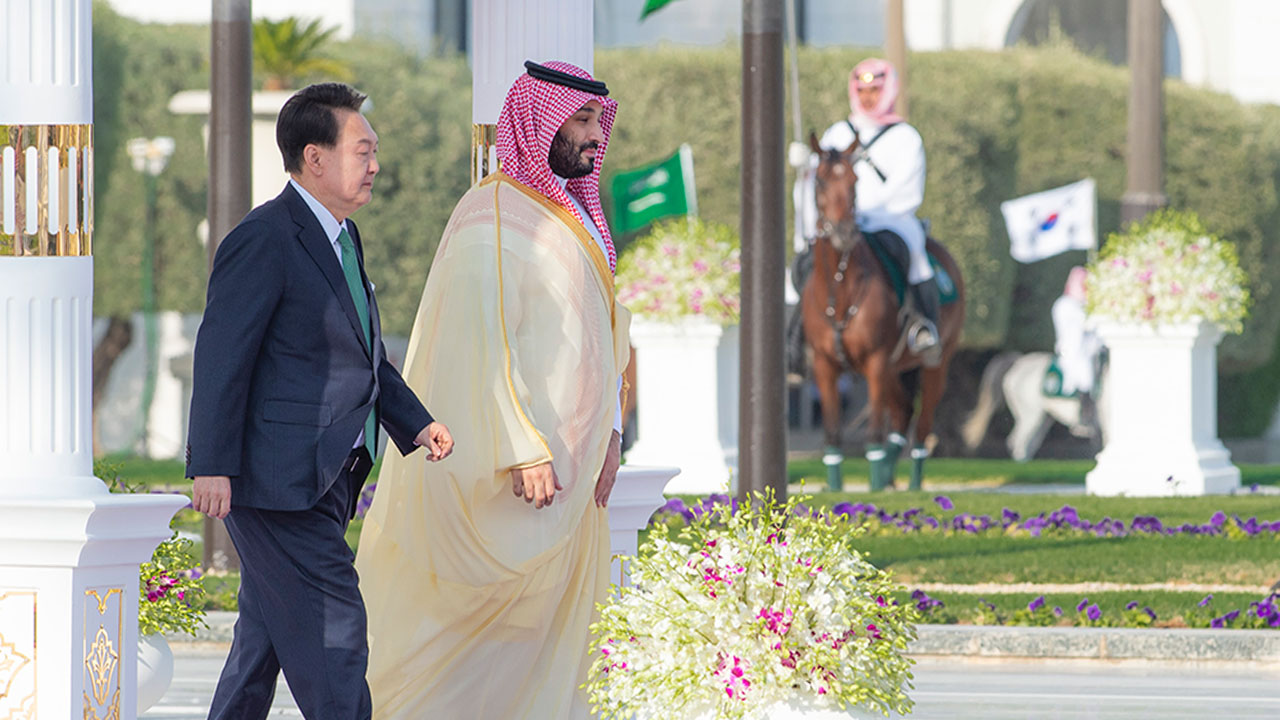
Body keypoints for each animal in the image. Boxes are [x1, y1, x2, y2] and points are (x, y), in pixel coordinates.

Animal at [793, 131, 962, 489]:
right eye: (820, 181)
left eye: (855, 180)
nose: (844, 233)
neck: (841, 286)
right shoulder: (825, 367)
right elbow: (832, 434)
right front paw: (837, 488)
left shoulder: (876, 362)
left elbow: (873, 434)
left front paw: (874, 489)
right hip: (895, 371)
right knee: (902, 414)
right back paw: (887, 480)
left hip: (933, 365)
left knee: (921, 426)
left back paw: (909, 485)